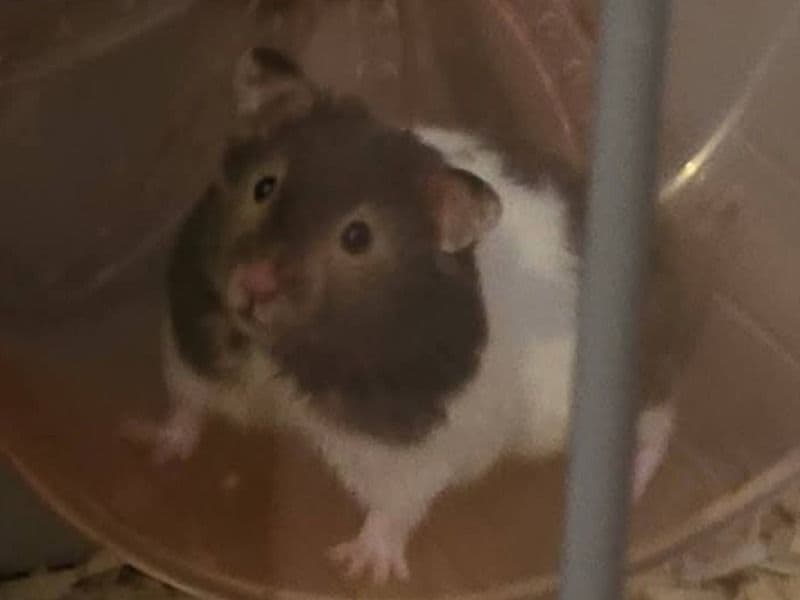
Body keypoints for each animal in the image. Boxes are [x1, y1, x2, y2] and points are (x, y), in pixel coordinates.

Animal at [133, 47, 692, 584]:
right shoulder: (190, 352)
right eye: (263, 186)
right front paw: (154, 447)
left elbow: (395, 508)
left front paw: (361, 567)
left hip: (629, 386)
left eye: (357, 237)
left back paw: (635, 486)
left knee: (661, 421)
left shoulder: (408, 453)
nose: (254, 283)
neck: (286, 353)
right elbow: (185, 405)